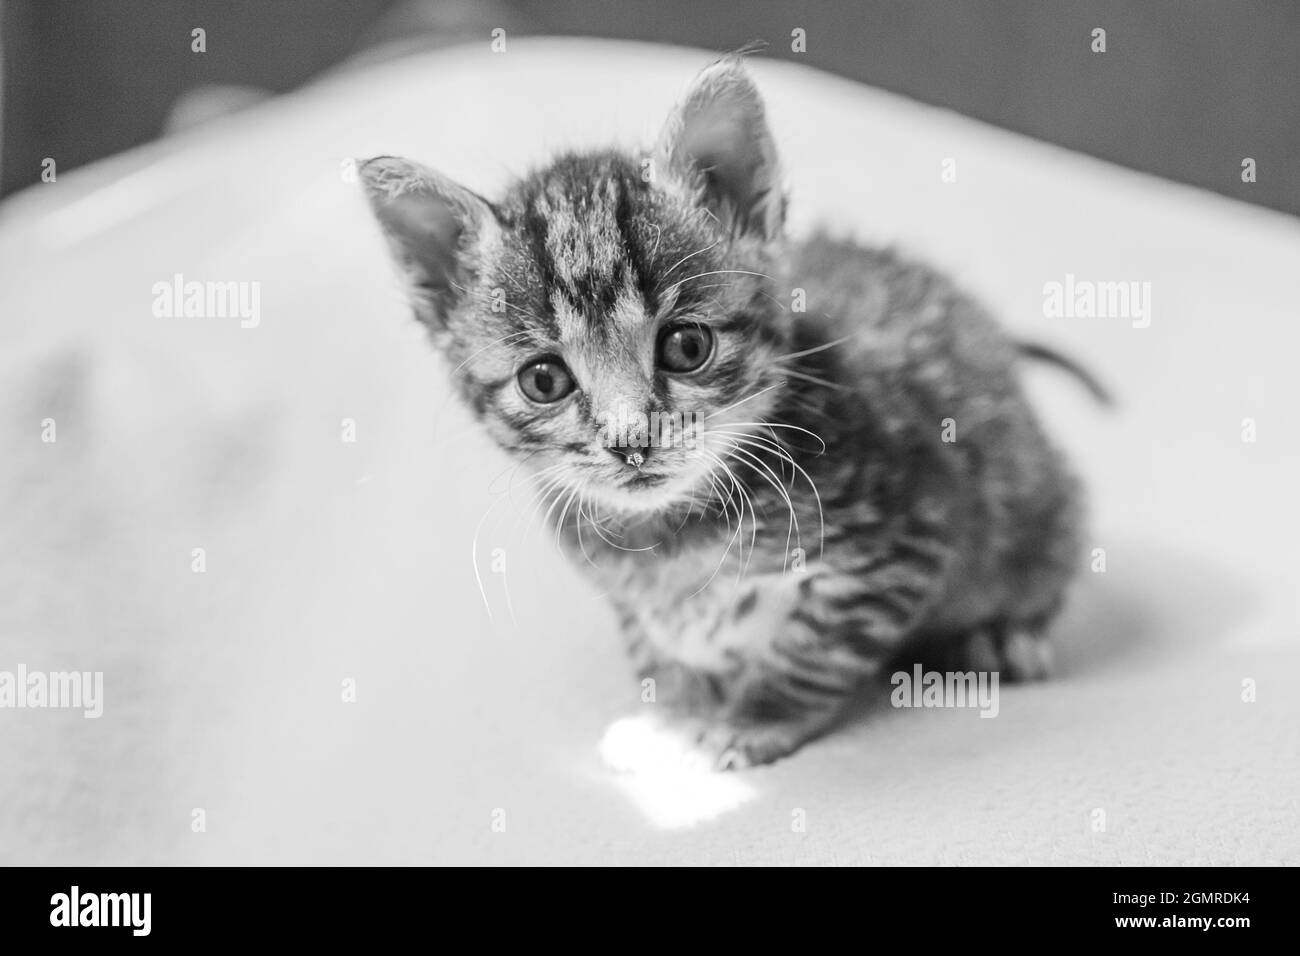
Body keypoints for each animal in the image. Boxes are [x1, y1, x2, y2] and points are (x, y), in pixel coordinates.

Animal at [364, 55, 1086, 770]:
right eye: (544, 380)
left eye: (687, 346)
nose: (630, 440)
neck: (674, 534)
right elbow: (659, 648)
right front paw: (675, 711)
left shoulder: (903, 532)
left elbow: (812, 647)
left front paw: (754, 718)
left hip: (1037, 503)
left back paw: (1002, 636)